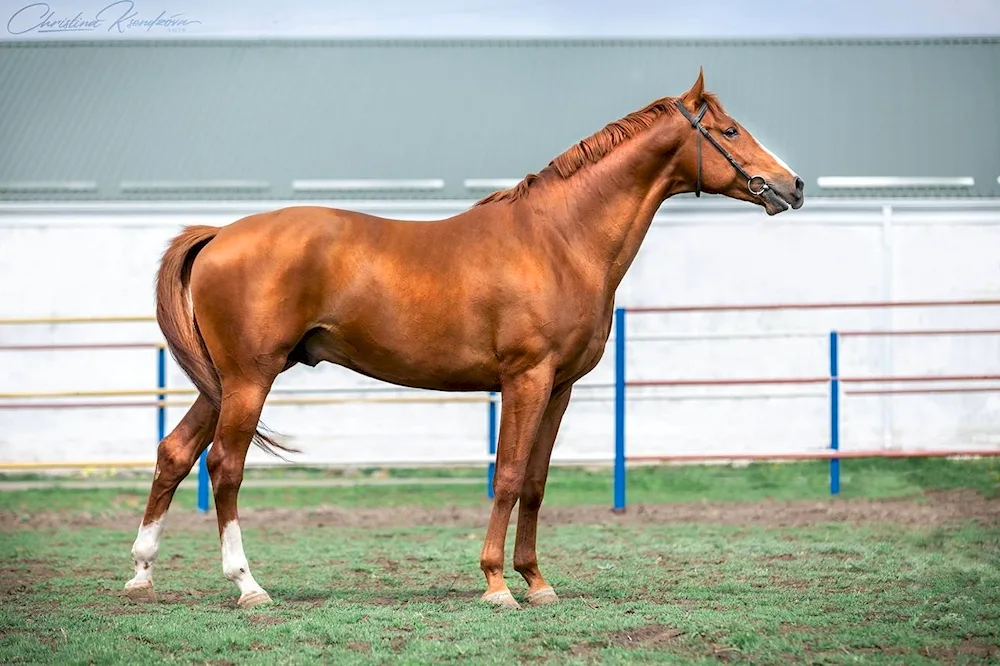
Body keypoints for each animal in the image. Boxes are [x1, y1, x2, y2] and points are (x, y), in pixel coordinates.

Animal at [123, 67, 804, 608]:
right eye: (731, 132)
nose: (793, 186)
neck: (560, 240)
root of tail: (221, 233)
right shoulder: (525, 379)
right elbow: (509, 476)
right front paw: (497, 584)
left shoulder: (558, 388)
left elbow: (535, 483)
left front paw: (537, 581)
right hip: (249, 379)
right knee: (225, 466)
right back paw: (247, 586)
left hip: (224, 383)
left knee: (175, 454)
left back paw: (140, 576)